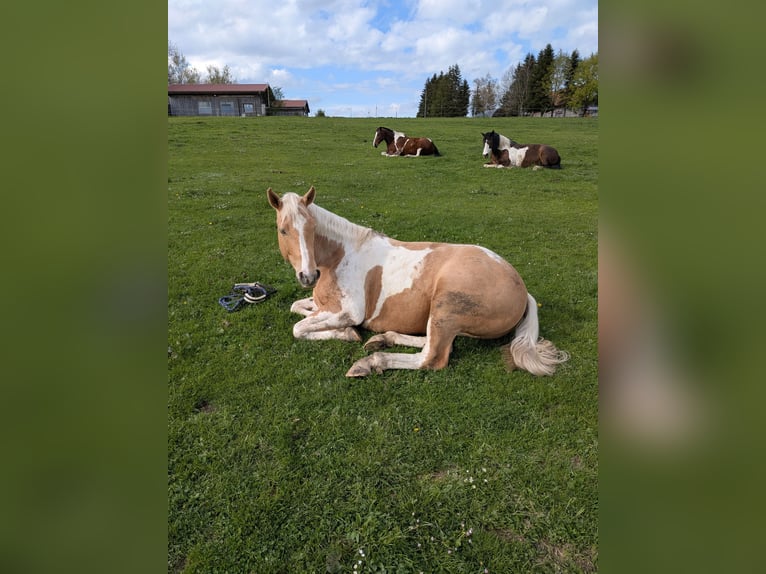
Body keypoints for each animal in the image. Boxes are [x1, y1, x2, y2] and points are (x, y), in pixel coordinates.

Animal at [267, 185, 569, 377]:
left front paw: (347, 334)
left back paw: (371, 361)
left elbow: (298, 328)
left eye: (312, 228)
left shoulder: (349, 312)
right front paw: (346, 333)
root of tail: (522, 290)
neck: (341, 255)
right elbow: (297, 308)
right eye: (283, 230)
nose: (308, 276)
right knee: (431, 343)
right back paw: (382, 340)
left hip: (445, 308)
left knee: (432, 357)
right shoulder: (324, 306)